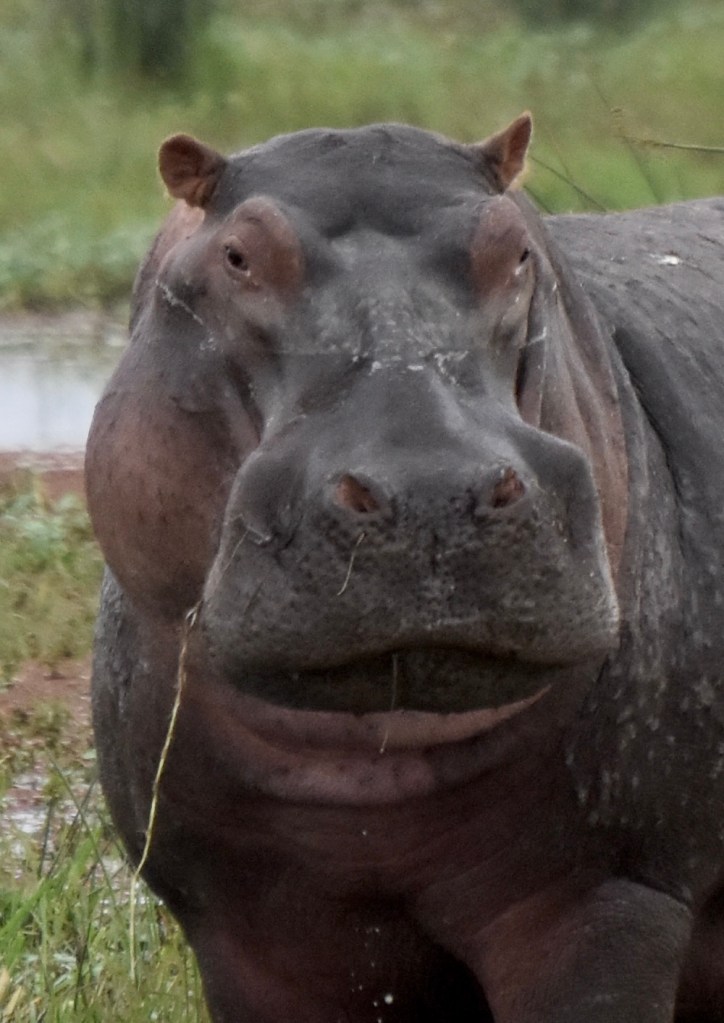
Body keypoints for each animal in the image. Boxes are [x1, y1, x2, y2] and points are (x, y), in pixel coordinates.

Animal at [85, 112, 724, 1022]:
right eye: (237, 254)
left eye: (516, 247)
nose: (430, 490)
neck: (372, 759)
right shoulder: (245, 933)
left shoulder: (607, 894)